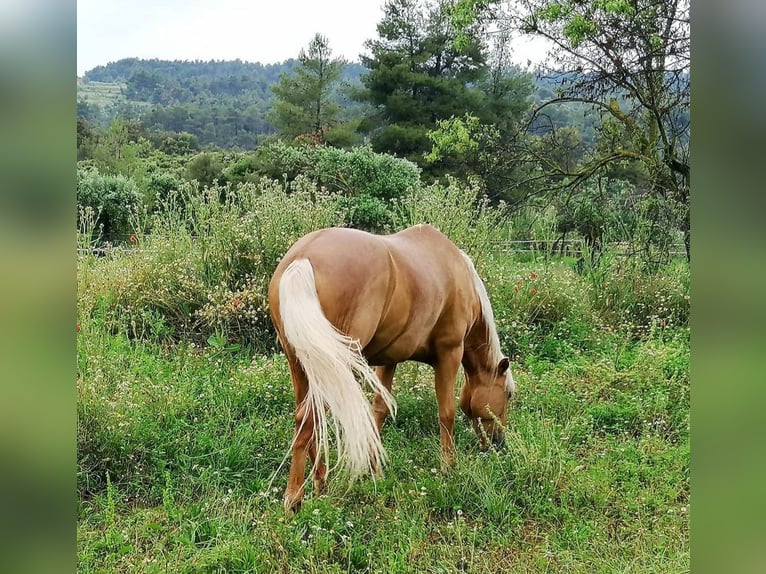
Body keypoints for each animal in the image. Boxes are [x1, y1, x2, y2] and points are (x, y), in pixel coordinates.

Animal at [268, 224, 516, 512]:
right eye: (508, 395)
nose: (500, 442)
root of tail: (302, 258)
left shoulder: (389, 360)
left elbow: (379, 411)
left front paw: (375, 470)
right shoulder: (449, 354)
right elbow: (447, 413)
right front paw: (448, 467)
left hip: (303, 367)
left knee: (306, 418)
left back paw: (320, 482)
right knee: (310, 419)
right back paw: (294, 499)